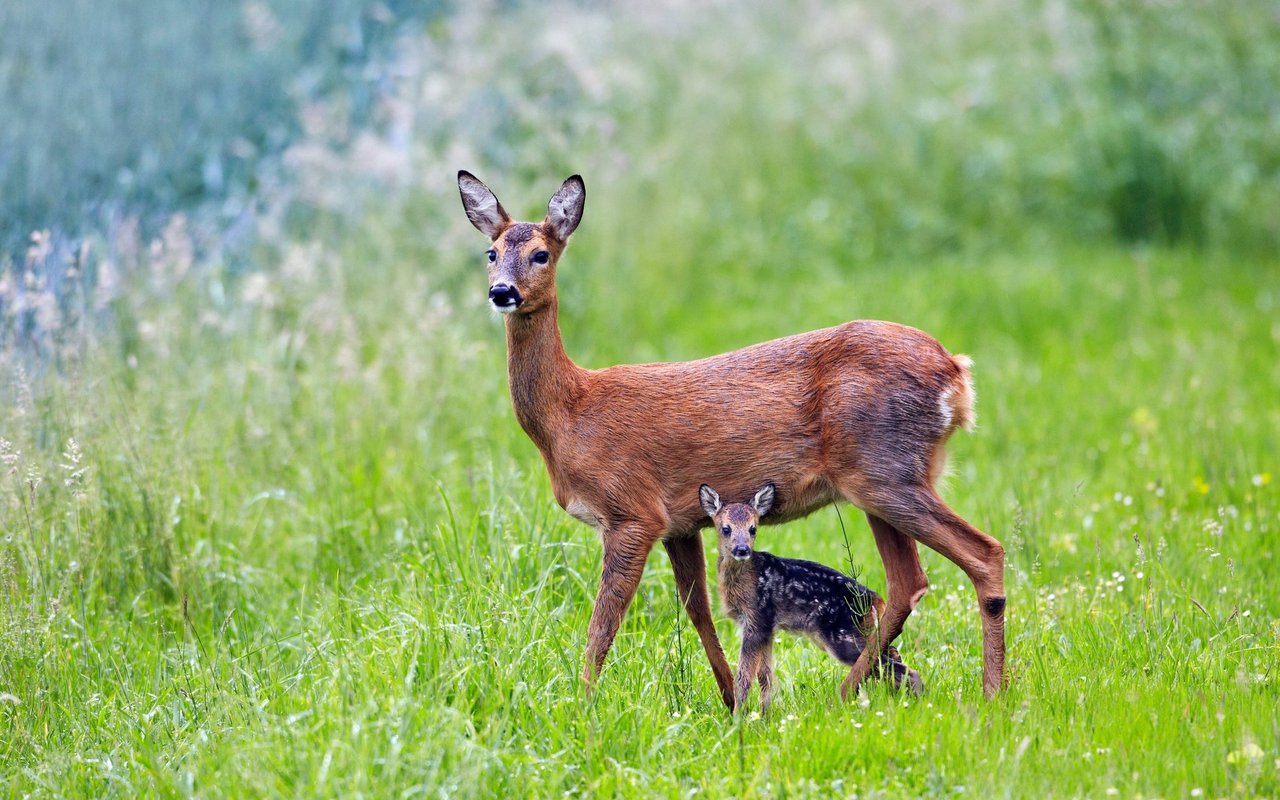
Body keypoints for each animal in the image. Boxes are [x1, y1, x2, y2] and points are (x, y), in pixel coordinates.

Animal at [455, 170, 1003, 706]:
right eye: (490, 253)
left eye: (541, 254)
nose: (501, 292)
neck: (570, 414)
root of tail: (956, 373)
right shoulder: (678, 522)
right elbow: (698, 609)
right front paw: (729, 697)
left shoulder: (632, 512)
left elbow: (604, 621)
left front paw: (584, 705)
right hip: (883, 479)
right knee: (907, 582)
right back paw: (862, 689)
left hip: (885, 471)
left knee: (983, 554)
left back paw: (989, 693)